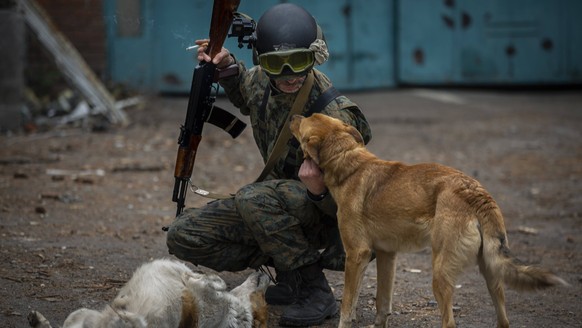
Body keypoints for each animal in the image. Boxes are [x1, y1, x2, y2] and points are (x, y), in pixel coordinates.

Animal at [28, 258, 272, 328]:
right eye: (262, 299)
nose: (268, 277)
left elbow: (211, 282)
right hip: (81, 313)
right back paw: (37, 320)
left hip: (131, 323)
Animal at [292, 113, 572, 328]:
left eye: (305, 119)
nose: (293, 115)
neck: (348, 163)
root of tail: (474, 191)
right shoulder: (386, 255)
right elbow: (382, 303)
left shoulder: (356, 255)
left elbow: (347, 309)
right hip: (492, 273)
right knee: (504, 320)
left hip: (440, 274)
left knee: (449, 322)